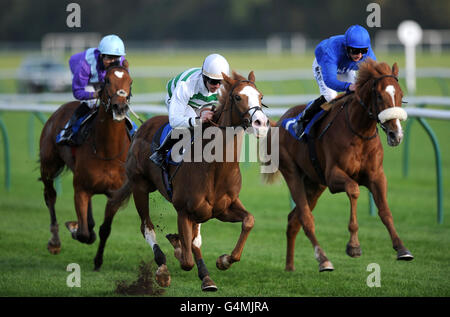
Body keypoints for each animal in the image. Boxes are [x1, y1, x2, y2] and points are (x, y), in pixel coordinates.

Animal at [39, 62, 132, 270]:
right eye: (107, 80)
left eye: (130, 81)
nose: (120, 107)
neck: (106, 151)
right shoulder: (80, 189)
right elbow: (82, 233)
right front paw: (74, 228)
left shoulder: (115, 194)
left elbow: (105, 229)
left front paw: (98, 261)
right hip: (49, 164)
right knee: (50, 196)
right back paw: (54, 242)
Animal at [109, 70, 268, 290]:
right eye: (237, 97)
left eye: (260, 96)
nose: (261, 123)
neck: (215, 167)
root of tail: (142, 127)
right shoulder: (183, 210)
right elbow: (186, 261)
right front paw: (177, 252)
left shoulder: (223, 208)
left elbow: (248, 221)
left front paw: (223, 260)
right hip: (139, 186)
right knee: (147, 228)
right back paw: (163, 268)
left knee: (194, 240)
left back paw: (205, 277)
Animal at [262, 59, 414, 272]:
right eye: (379, 95)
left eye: (400, 95)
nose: (396, 134)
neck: (359, 132)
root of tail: (281, 121)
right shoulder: (333, 176)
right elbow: (354, 189)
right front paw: (354, 246)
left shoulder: (377, 176)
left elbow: (385, 211)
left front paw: (402, 249)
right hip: (293, 173)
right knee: (305, 218)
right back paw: (323, 260)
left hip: (314, 183)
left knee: (293, 219)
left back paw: (290, 266)